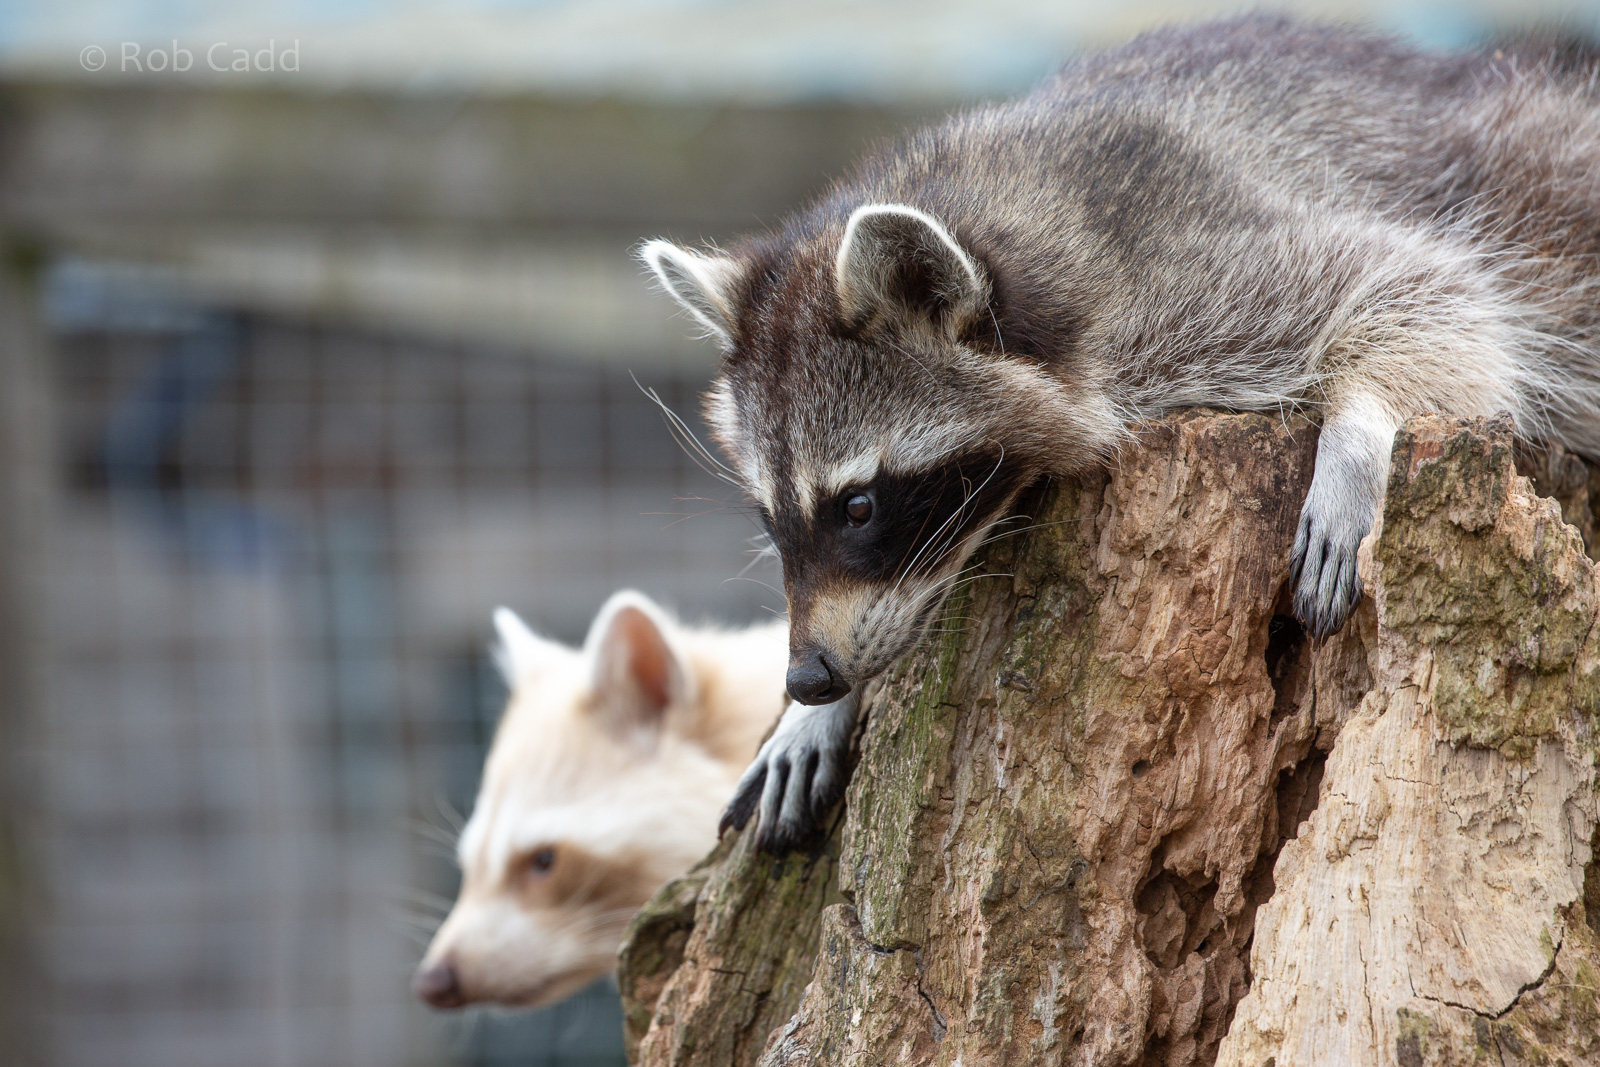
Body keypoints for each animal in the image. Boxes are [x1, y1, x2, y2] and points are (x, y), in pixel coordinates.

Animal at [642, 17, 1600, 850]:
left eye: (859, 507)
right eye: (770, 520)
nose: (806, 675)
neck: (1007, 208)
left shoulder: (1191, 267)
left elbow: (1433, 295)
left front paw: (1358, 434)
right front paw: (821, 706)